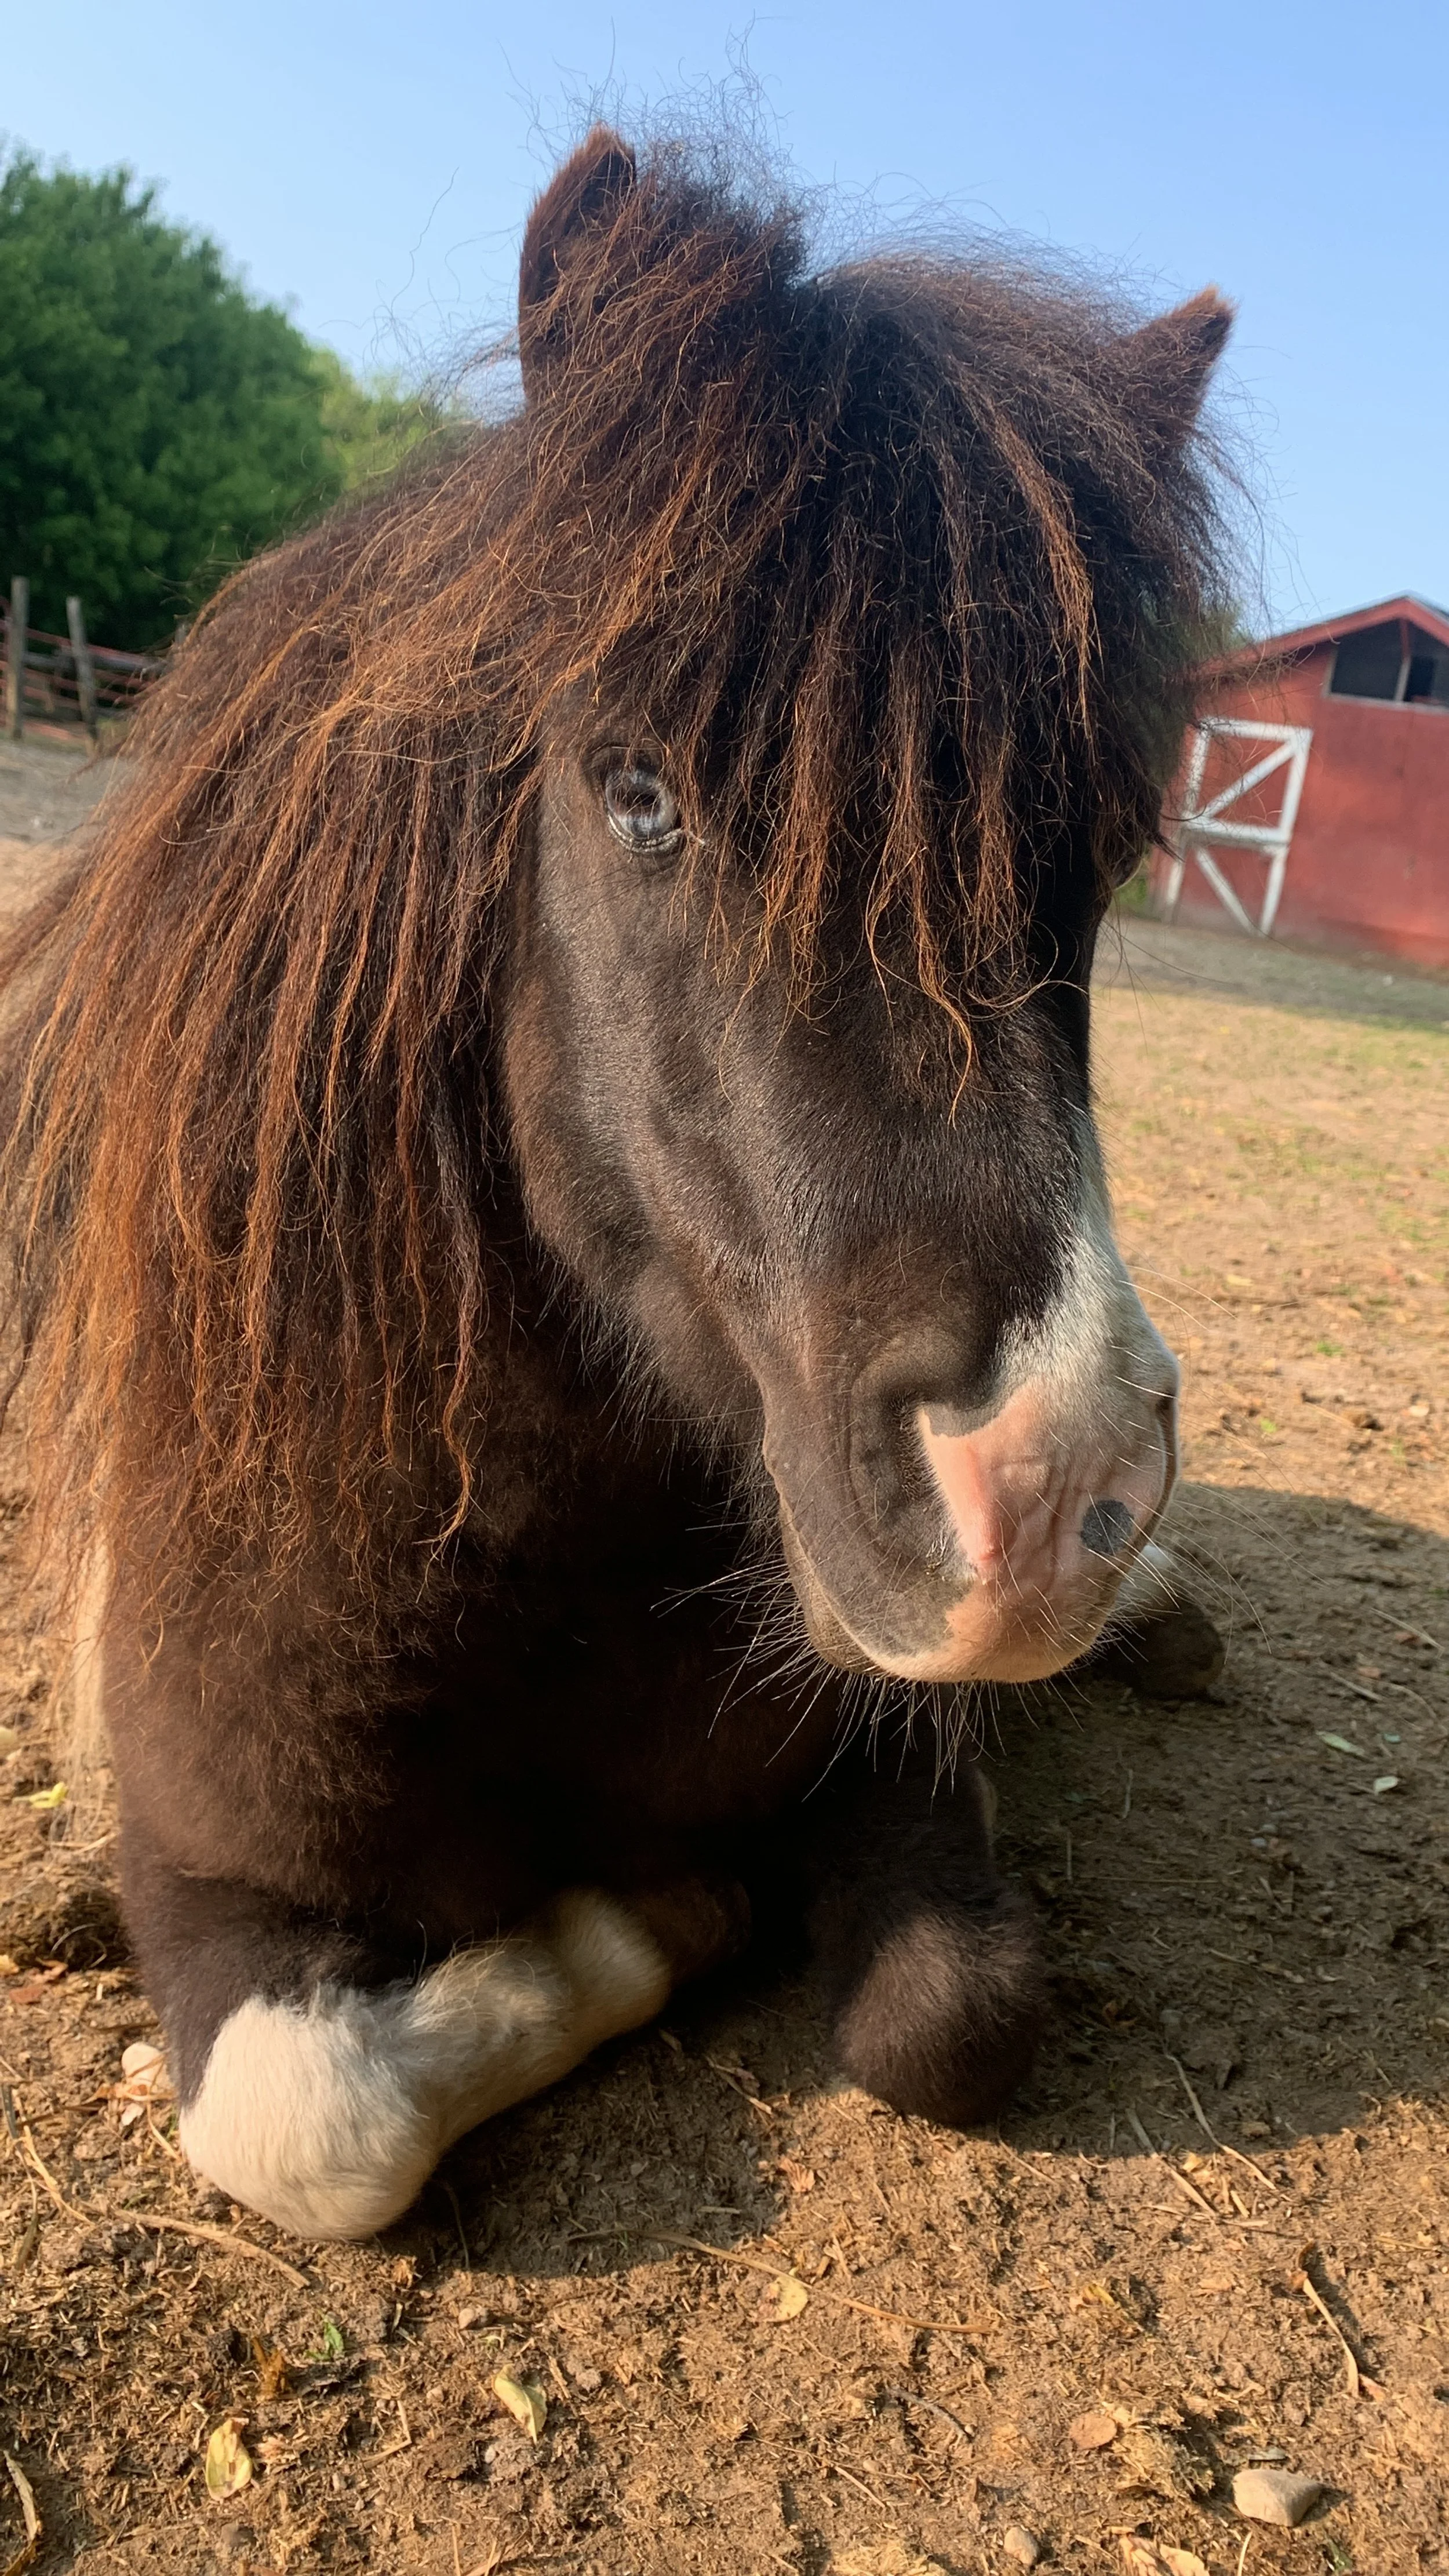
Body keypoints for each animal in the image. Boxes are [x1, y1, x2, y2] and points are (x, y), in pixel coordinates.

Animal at [0, 127, 1231, 2239]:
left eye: (1111, 845)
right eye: (636, 792)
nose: (1049, 1484)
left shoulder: (890, 1756)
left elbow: (951, 2020)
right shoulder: (214, 1881)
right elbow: (317, 2122)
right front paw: (665, 1909)